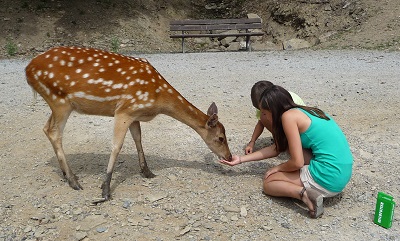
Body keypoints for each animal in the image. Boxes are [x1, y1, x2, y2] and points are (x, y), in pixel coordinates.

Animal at [25, 46, 231, 202]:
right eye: (221, 138)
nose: (229, 156)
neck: (158, 98)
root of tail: (28, 69)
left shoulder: (135, 114)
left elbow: (138, 139)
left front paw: (147, 171)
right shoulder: (124, 110)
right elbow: (117, 145)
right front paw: (105, 190)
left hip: (57, 103)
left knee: (46, 128)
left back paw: (67, 174)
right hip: (59, 100)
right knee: (54, 132)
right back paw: (74, 181)